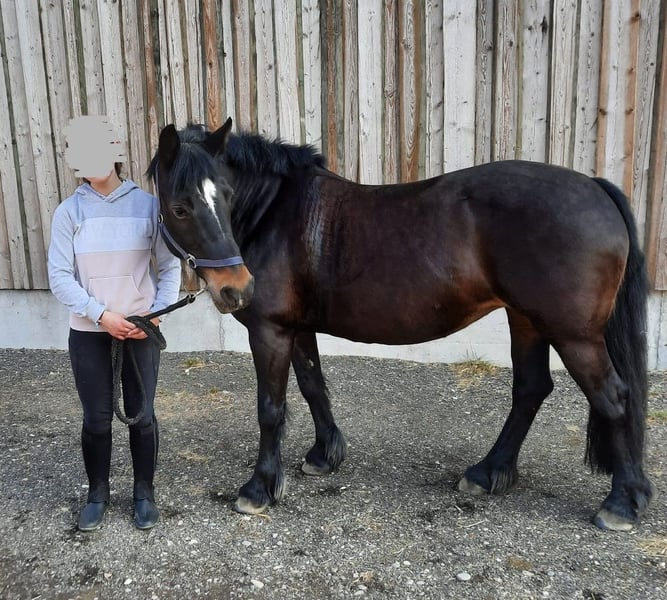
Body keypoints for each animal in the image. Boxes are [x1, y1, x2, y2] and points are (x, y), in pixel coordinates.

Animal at [148, 118, 653, 531]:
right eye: (180, 207)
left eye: (226, 197)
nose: (236, 289)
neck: (274, 213)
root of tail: (595, 187)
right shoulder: (297, 327)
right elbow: (313, 386)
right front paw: (324, 455)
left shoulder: (270, 330)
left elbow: (271, 408)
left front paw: (258, 489)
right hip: (527, 320)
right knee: (531, 390)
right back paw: (487, 472)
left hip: (574, 335)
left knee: (613, 397)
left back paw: (621, 504)